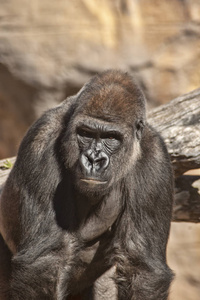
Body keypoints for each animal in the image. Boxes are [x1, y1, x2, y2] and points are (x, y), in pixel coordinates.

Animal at [0, 71, 173, 300]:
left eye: (111, 137)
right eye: (86, 133)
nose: (93, 160)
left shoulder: (155, 158)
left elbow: (141, 268)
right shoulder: (42, 137)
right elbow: (43, 260)